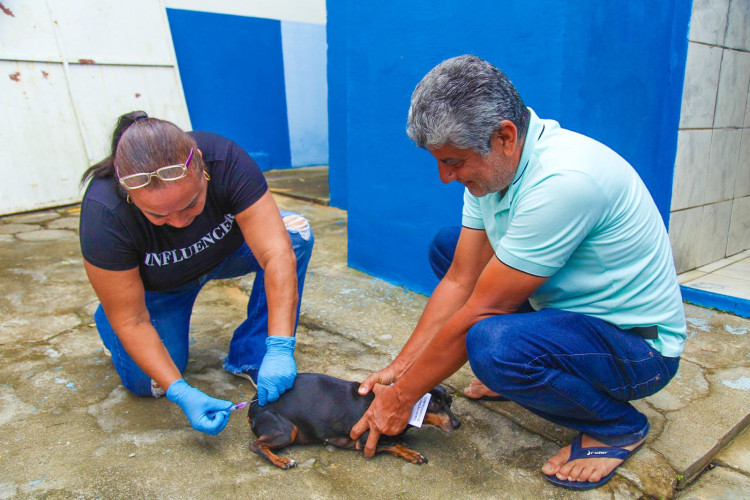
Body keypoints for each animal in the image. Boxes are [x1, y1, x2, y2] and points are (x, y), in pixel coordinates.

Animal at [248, 372, 458, 468]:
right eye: (433, 405)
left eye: (450, 401)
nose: (457, 424)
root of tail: (253, 403)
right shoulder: (365, 443)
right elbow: (394, 445)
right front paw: (411, 453)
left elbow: (396, 442)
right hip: (286, 431)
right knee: (255, 445)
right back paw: (281, 460)